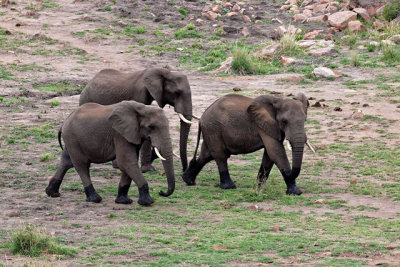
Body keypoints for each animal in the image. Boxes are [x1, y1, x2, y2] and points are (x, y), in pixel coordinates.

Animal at [44, 100, 174, 205]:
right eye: (151, 127)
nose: (161, 192)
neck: (142, 108)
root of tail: (64, 122)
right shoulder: (119, 134)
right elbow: (126, 162)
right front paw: (147, 202)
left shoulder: (132, 134)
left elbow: (129, 164)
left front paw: (123, 201)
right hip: (72, 138)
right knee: (82, 165)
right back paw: (95, 199)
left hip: (72, 140)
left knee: (66, 162)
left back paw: (52, 193)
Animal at [181, 93, 312, 196]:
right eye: (284, 121)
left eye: (305, 120)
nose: (290, 174)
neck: (278, 100)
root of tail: (202, 117)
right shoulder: (264, 125)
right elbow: (275, 152)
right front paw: (295, 192)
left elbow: (269, 156)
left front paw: (257, 189)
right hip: (213, 129)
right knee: (220, 155)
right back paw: (229, 187)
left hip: (210, 131)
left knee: (206, 155)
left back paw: (188, 180)